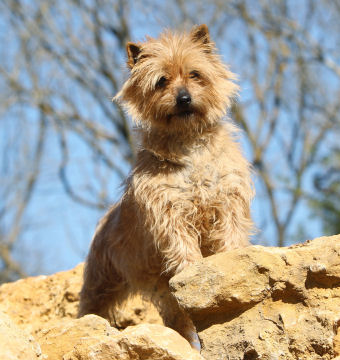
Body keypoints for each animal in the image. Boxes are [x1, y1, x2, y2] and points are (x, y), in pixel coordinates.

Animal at [79, 23, 254, 344]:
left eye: (195, 74)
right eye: (161, 81)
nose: (183, 98)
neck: (189, 143)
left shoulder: (227, 202)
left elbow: (230, 236)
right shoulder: (169, 212)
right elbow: (183, 246)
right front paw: (192, 268)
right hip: (103, 281)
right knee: (93, 306)